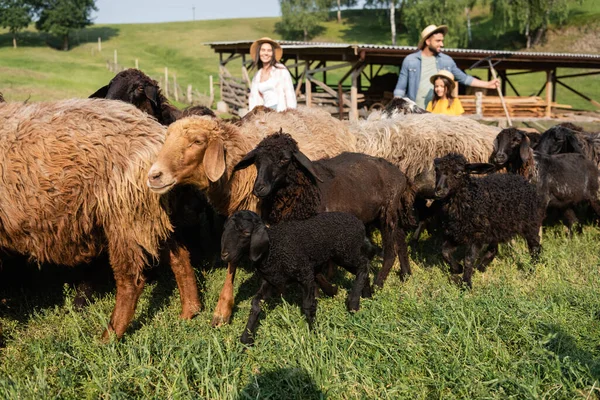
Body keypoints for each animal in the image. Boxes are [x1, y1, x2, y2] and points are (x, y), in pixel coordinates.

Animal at [0, 98, 202, 340]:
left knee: (131, 280)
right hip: (150, 213)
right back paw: (189, 311)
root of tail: (157, 131)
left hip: (124, 213)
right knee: (179, 256)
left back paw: (110, 336)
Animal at [220, 211, 372, 346]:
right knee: (364, 268)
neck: (273, 248)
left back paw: (353, 303)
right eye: (225, 230)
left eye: (246, 232)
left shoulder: (305, 274)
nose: (224, 256)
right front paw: (246, 338)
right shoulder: (270, 281)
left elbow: (307, 305)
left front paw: (315, 333)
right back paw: (367, 295)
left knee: (364, 265)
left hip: (346, 252)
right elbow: (256, 304)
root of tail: (359, 223)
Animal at [234, 132, 418, 288]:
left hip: (388, 212)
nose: (259, 188)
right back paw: (406, 274)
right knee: (401, 240)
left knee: (391, 251)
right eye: (257, 161)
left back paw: (378, 283)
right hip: (383, 214)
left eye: (284, 159)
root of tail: (401, 175)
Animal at [432, 153, 544, 288]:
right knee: (493, 249)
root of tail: (523, 180)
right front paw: (457, 269)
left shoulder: (477, 234)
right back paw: (481, 267)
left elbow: (468, 259)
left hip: (530, 223)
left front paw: (466, 284)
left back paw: (530, 272)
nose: (439, 191)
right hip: (496, 227)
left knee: (535, 248)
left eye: (459, 173)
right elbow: (444, 251)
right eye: (436, 170)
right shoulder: (456, 234)